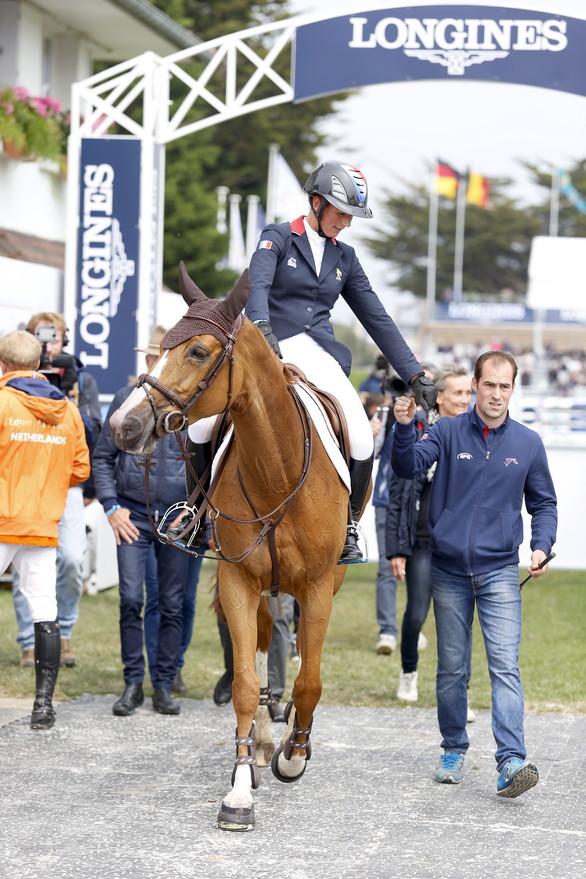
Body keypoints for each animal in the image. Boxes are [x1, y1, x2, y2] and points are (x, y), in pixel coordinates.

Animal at [109, 262, 360, 832]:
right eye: (160, 350)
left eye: (199, 352)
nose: (122, 425)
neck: (277, 467)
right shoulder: (238, 580)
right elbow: (245, 681)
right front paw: (241, 789)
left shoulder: (319, 587)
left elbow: (310, 681)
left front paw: (295, 755)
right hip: (262, 586)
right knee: (266, 642)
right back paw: (267, 737)